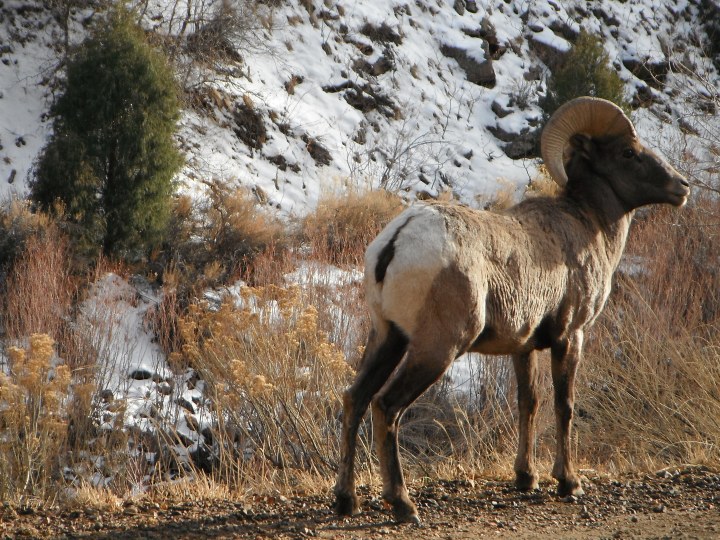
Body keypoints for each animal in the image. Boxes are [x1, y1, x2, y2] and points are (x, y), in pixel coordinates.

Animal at [333, 97, 690, 524]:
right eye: (628, 153)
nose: (682, 187)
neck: (589, 225)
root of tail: (396, 241)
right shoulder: (570, 337)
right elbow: (564, 405)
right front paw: (569, 483)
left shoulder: (524, 348)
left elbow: (528, 403)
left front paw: (526, 478)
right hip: (435, 349)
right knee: (387, 406)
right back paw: (404, 505)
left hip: (388, 337)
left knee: (355, 399)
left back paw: (345, 501)